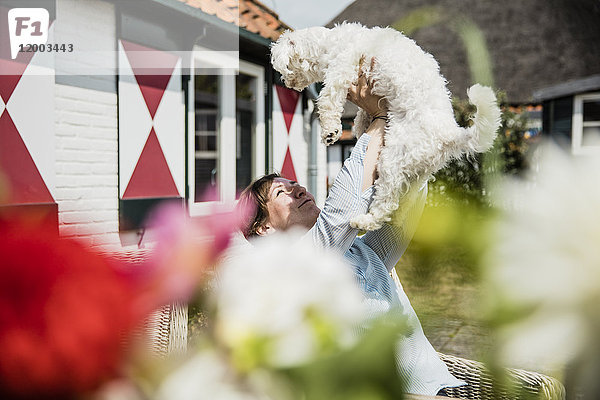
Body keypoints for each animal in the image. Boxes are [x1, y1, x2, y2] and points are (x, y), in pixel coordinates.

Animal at [272, 23, 502, 230]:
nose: (284, 83)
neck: (331, 43)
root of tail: (449, 133)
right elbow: (362, 115)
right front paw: (359, 128)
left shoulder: (342, 70)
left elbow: (329, 99)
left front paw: (331, 131)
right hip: (416, 171)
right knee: (403, 203)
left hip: (391, 159)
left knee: (387, 203)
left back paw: (364, 221)